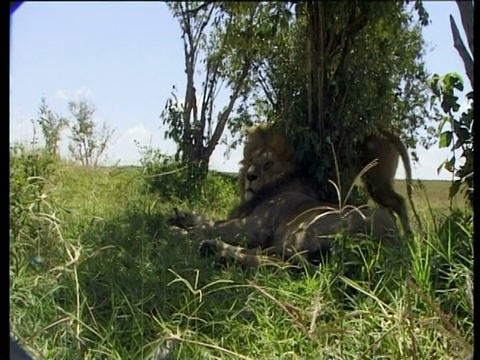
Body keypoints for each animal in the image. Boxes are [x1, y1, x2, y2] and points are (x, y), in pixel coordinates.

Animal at [169, 122, 402, 268]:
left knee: (283, 264)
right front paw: (182, 216)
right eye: (251, 160)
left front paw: (179, 230)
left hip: (305, 230)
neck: (275, 186)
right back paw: (216, 250)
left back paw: (217, 250)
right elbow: (210, 220)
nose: (251, 176)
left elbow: (210, 227)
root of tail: (387, 239)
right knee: (275, 257)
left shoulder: (255, 226)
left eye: (268, 164)